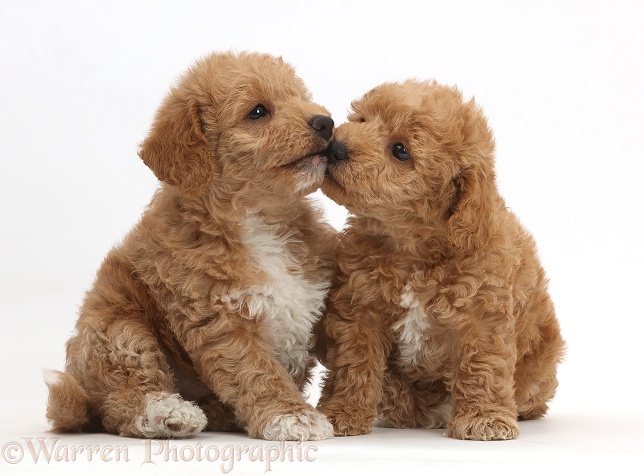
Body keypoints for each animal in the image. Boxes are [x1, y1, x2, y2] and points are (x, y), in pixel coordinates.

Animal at [44, 50, 338, 440]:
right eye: (258, 111)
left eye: (301, 97)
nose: (326, 123)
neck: (259, 220)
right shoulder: (219, 321)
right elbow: (258, 373)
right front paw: (291, 415)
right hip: (118, 332)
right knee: (121, 405)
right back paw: (170, 413)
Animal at [316, 80, 564, 440]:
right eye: (362, 120)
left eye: (400, 150)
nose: (336, 147)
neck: (410, 249)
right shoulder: (359, 306)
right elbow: (354, 362)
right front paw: (342, 412)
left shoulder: (483, 314)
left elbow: (482, 366)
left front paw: (483, 417)